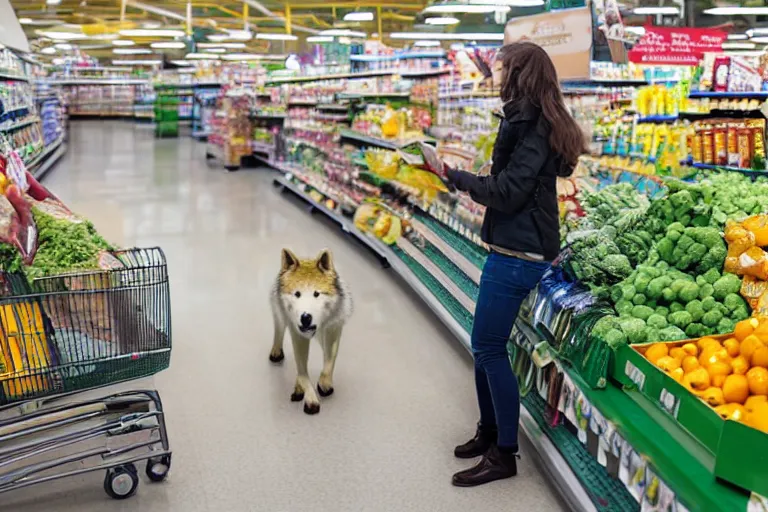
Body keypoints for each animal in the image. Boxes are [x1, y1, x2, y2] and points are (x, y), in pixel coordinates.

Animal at [270, 249, 354, 416]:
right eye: (297, 294)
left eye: (317, 294)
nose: (305, 318)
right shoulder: (298, 336)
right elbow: (303, 371)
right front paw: (310, 398)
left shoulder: (333, 330)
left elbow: (329, 362)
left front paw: (324, 384)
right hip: (280, 317)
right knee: (279, 331)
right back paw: (276, 352)